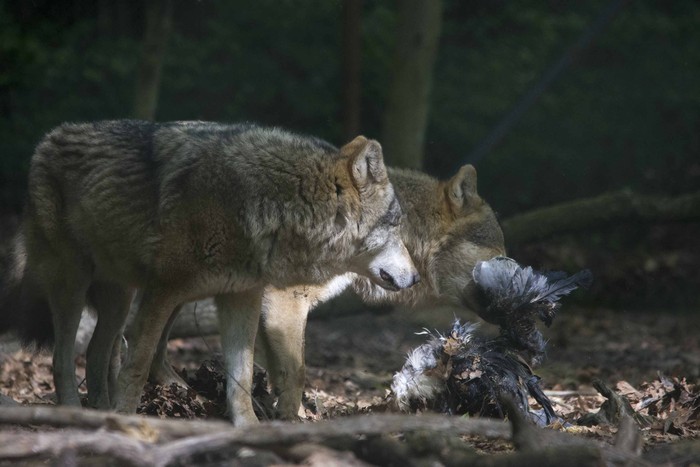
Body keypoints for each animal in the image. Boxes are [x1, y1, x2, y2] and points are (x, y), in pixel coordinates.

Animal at [0, 121, 418, 428]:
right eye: (396, 225)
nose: (414, 279)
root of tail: (47, 139)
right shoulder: (163, 291)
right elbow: (138, 365)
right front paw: (127, 419)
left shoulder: (241, 299)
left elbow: (242, 376)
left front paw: (250, 428)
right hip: (73, 286)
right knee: (61, 359)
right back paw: (74, 413)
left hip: (120, 296)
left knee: (95, 353)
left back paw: (99, 412)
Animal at [150, 164, 506, 420]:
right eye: (500, 256)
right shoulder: (285, 299)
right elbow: (297, 371)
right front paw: (292, 420)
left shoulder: (267, 305)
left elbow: (278, 373)